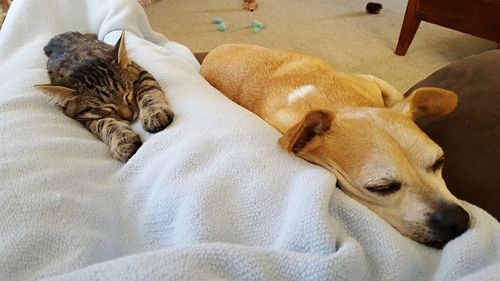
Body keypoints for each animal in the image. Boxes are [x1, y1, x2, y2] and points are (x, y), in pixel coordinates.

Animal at [36, 31, 174, 161]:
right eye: (106, 107)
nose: (129, 117)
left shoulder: (141, 72)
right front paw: (122, 141)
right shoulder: (82, 117)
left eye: (128, 94)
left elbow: (148, 91)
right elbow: (103, 124)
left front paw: (154, 113)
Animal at [199, 42, 468, 246]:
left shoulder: (372, 83)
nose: (458, 221)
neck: (340, 107)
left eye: (439, 162)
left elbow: (396, 96)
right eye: (382, 188)